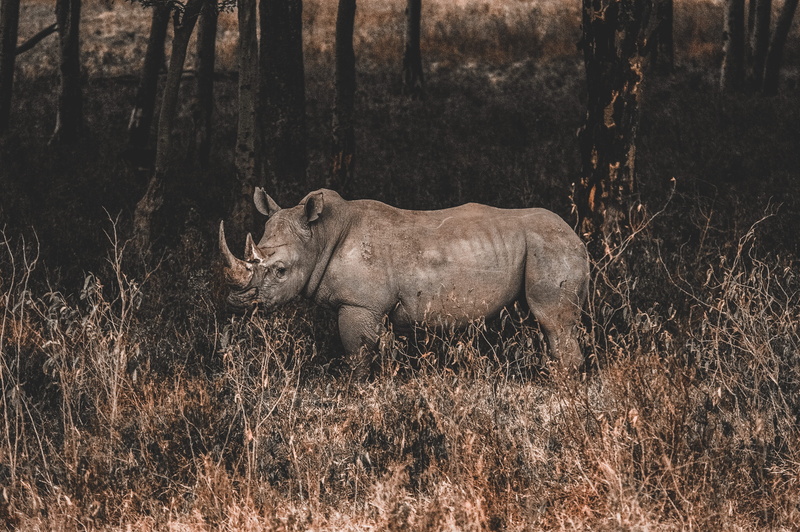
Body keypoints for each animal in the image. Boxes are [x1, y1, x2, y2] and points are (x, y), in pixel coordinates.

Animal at [220, 188, 590, 374]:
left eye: (280, 271)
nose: (237, 303)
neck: (320, 235)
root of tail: (576, 237)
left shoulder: (360, 305)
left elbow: (358, 355)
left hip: (551, 247)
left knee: (553, 323)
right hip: (542, 246)